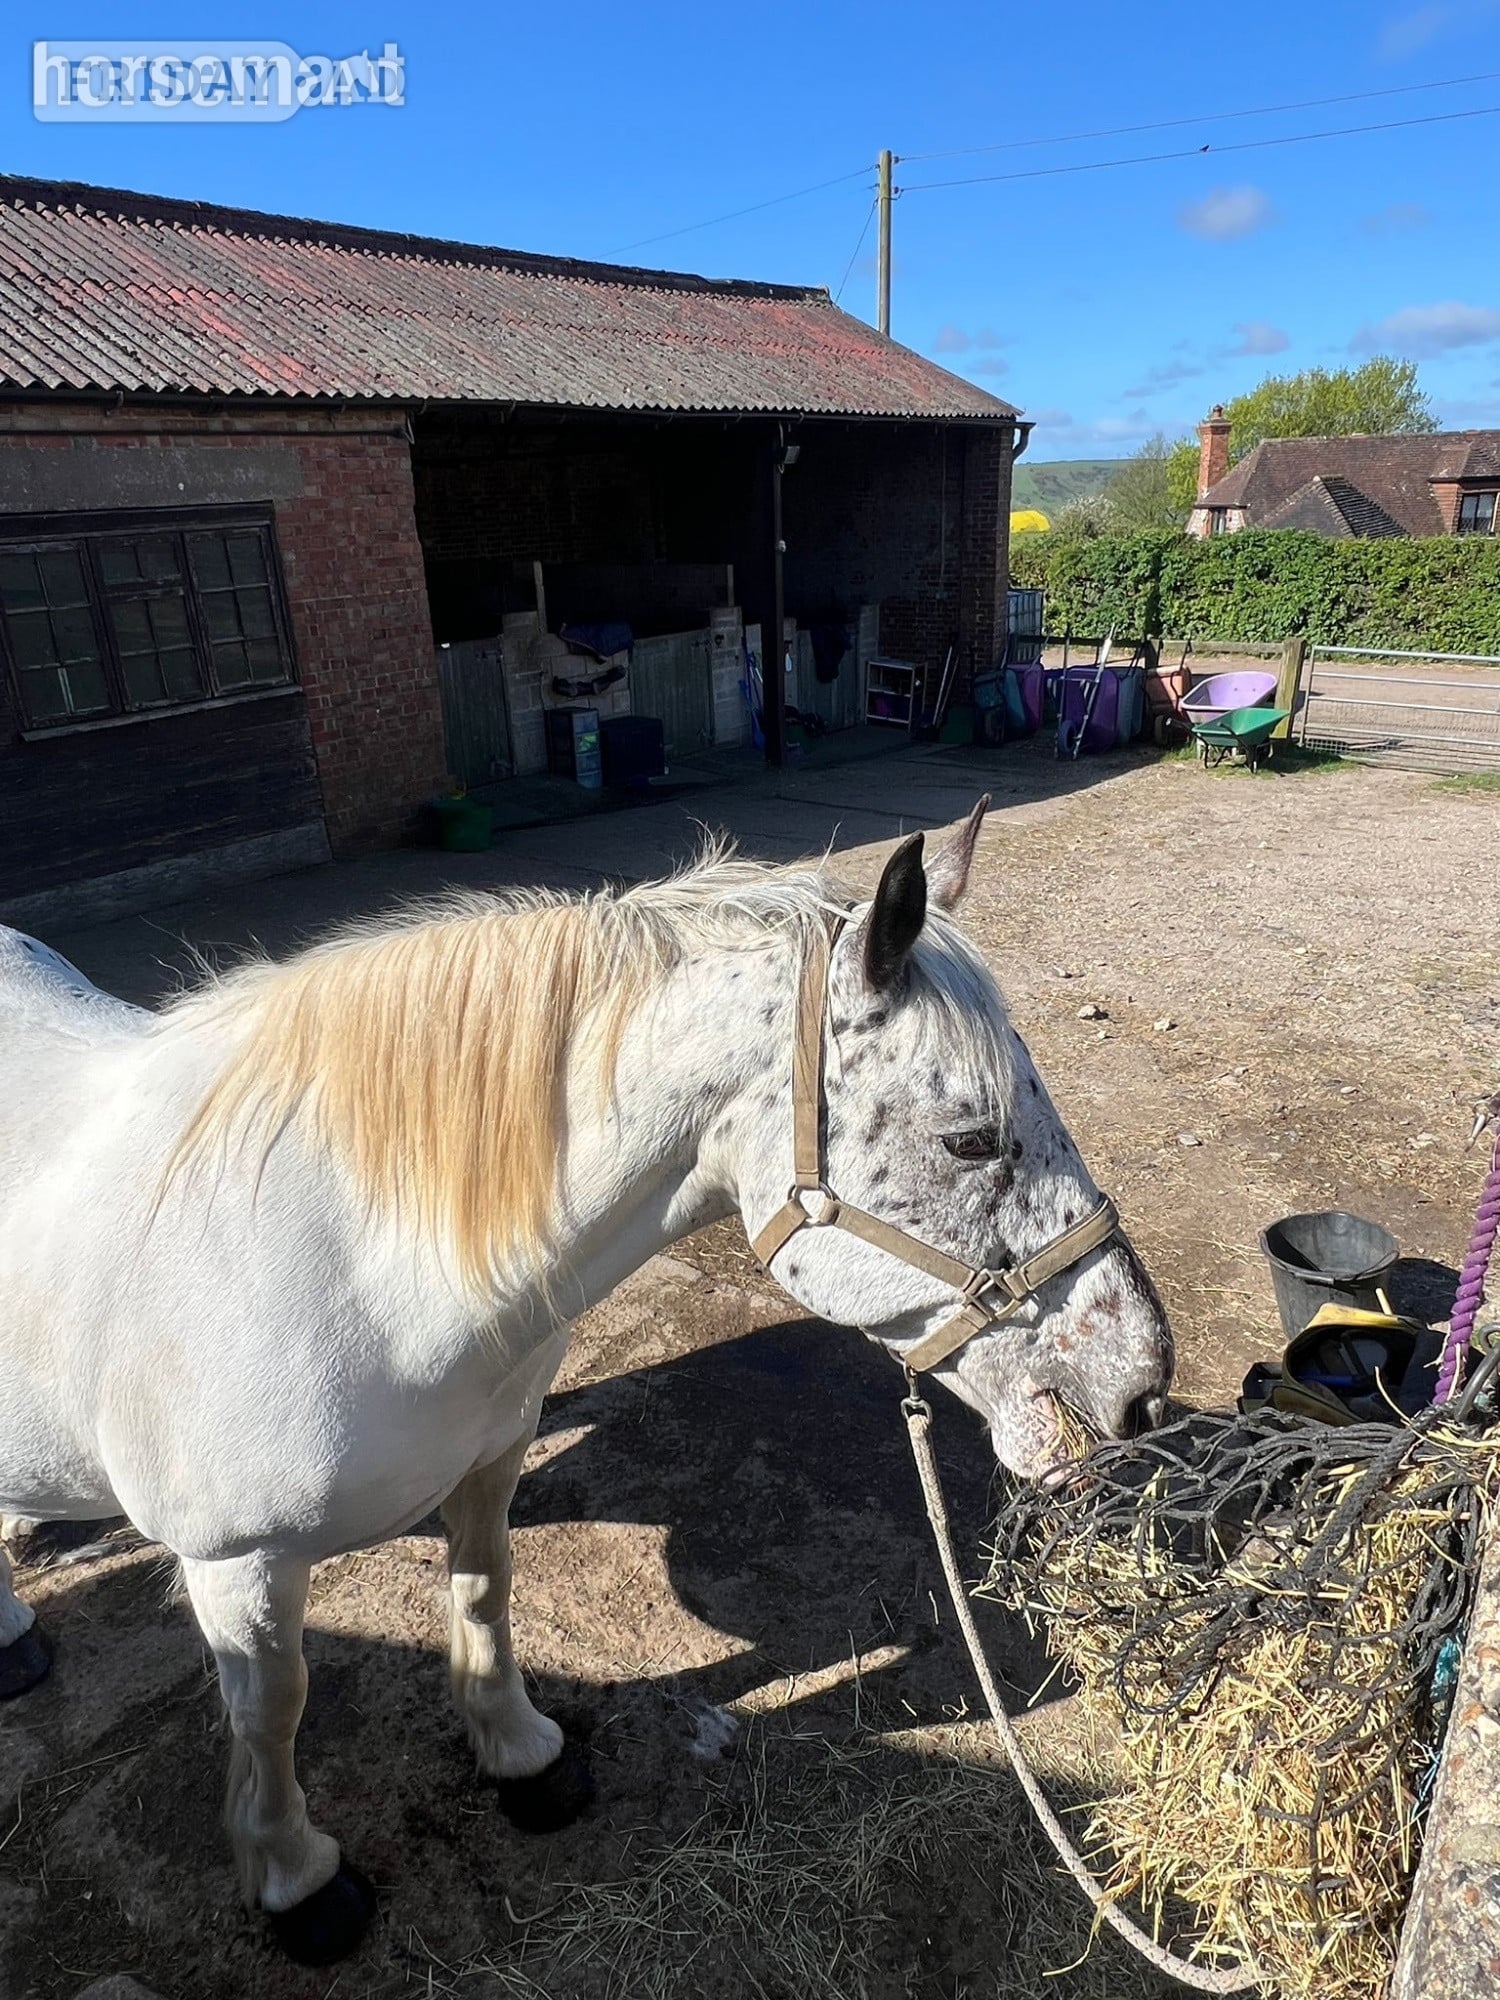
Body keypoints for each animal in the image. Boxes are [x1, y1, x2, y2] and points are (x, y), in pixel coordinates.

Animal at [0, 800, 1171, 1964]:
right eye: (972, 1138)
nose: (1141, 1382)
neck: (357, 1259)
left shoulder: (491, 1456)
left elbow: (484, 1589)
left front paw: (519, 1750)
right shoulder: (235, 1566)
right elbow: (272, 1710)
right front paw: (295, 1877)